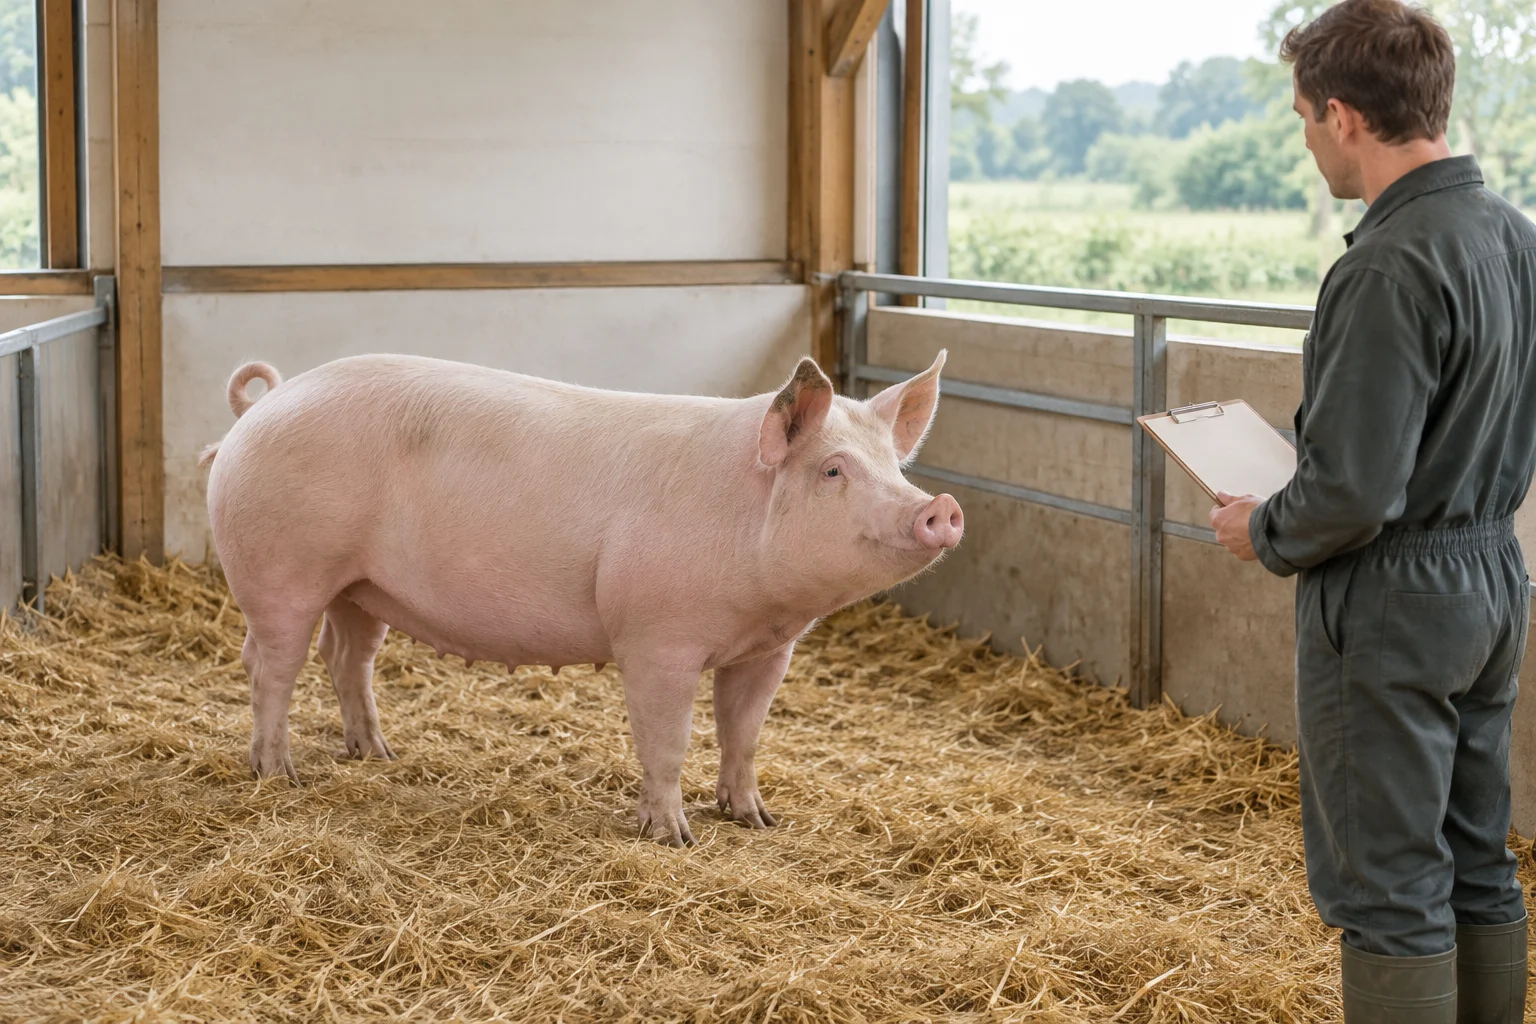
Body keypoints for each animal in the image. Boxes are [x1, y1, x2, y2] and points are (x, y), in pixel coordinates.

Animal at [200, 351, 962, 845]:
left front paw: (756, 819)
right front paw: (673, 837)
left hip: (359, 587)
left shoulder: (769, 650)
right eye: (833, 470)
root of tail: (262, 404)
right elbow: (668, 740)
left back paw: (377, 755)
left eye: (894, 466)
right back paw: (280, 774)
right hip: (281, 570)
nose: (941, 507)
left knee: (345, 657)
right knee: (269, 664)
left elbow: (743, 734)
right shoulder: (656, 640)